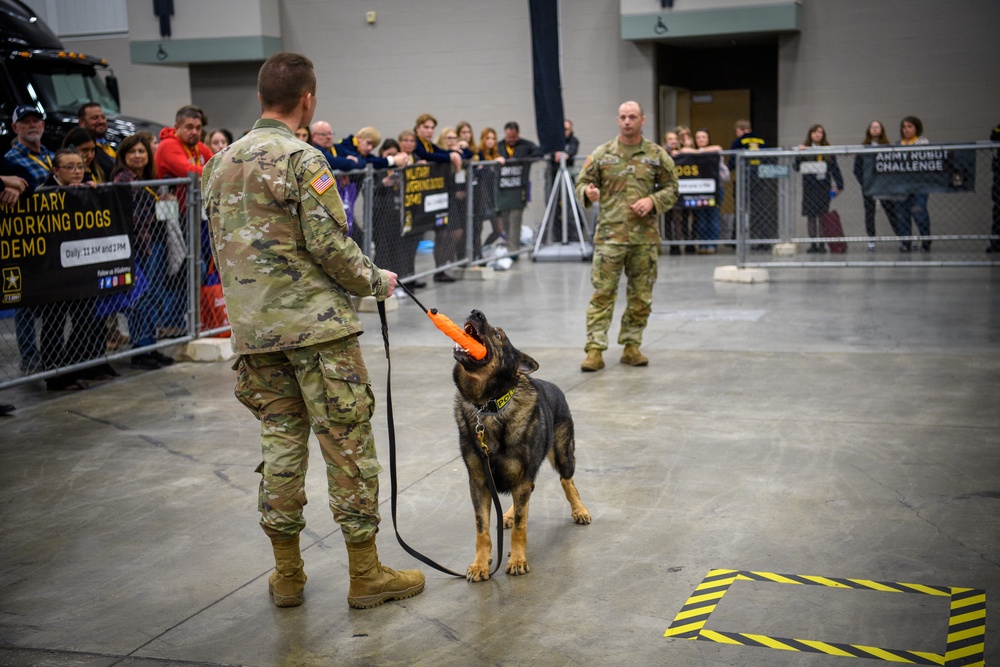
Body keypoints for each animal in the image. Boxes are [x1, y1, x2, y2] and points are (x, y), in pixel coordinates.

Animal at [456, 310, 592, 580]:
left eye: (499, 335)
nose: (476, 312)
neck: (490, 407)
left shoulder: (521, 478)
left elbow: (521, 527)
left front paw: (518, 560)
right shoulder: (479, 482)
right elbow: (482, 529)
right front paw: (480, 564)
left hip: (563, 455)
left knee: (567, 480)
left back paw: (579, 510)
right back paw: (507, 514)